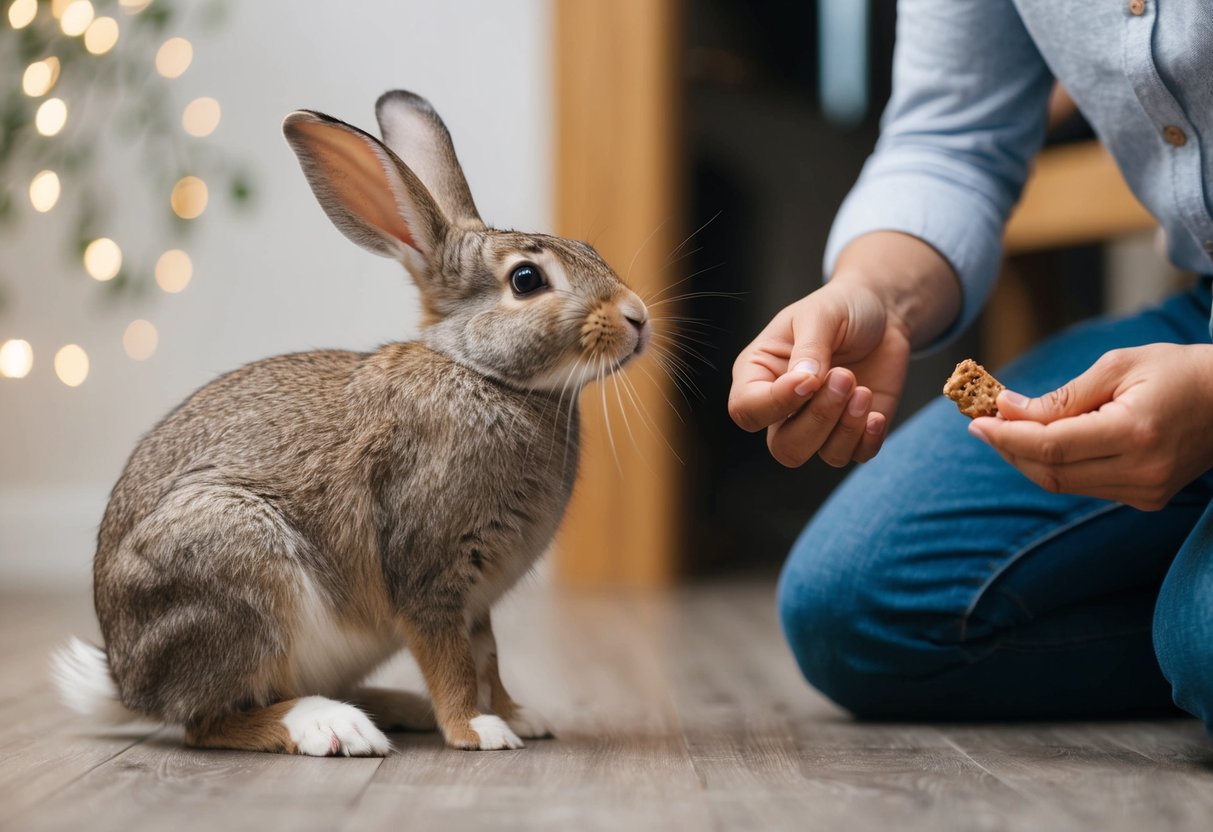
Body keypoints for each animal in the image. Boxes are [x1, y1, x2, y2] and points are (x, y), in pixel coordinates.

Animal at [49, 89, 651, 756]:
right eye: (527, 280)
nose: (638, 316)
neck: (484, 375)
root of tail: (127, 680)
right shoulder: (431, 576)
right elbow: (451, 661)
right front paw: (477, 731)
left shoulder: (477, 601)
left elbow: (487, 657)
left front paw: (521, 717)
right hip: (235, 576)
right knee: (209, 722)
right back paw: (332, 727)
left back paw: (391, 709)